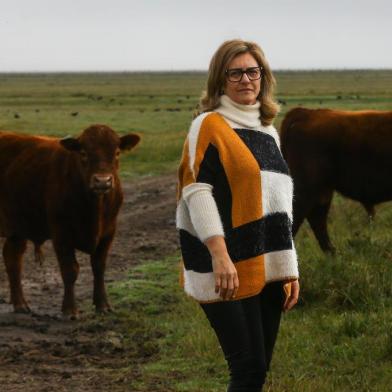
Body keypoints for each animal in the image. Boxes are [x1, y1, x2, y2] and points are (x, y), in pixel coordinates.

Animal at [0, 124, 141, 316]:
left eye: (117, 152)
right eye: (83, 153)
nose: (102, 181)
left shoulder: (108, 232)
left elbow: (99, 266)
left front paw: (103, 305)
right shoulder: (61, 234)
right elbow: (70, 270)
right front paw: (69, 309)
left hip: (18, 227)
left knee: (13, 258)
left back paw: (21, 304)